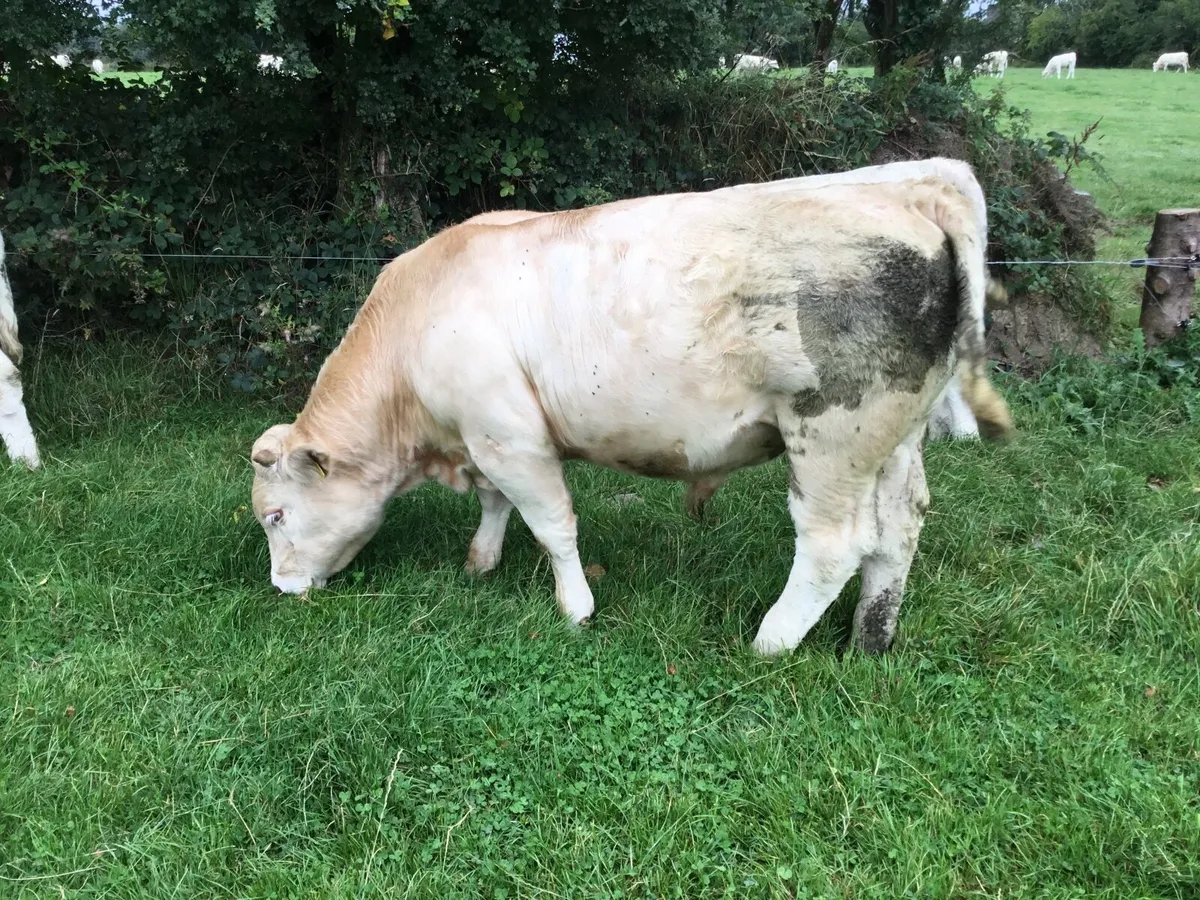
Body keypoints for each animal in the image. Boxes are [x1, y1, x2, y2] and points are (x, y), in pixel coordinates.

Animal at [249, 159, 1014, 656]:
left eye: (277, 514)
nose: (281, 588)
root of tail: (907, 192)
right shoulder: (483, 436)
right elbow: (495, 504)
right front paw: (481, 562)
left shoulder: (510, 436)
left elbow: (552, 525)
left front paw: (575, 609)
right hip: (896, 438)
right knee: (898, 530)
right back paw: (870, 638)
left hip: (832, 435)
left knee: (834, 546)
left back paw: (770, 641)